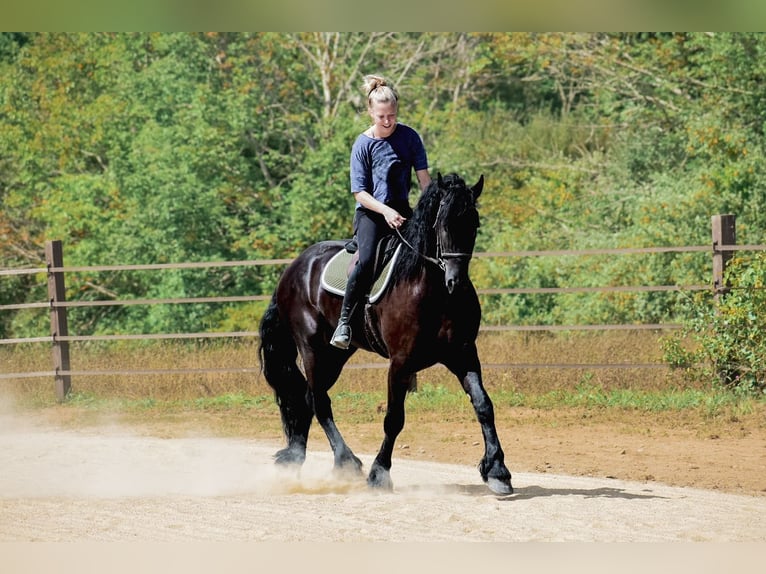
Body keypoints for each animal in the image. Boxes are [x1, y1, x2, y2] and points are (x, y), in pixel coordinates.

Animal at [258, 172, 513, 495]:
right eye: (442, 223)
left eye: (474, 223)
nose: (456, 282)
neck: (430, 289)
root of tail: (293, 268)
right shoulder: (400, 362)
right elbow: (394, 418)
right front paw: (379, 474)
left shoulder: (463, 353)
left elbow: (484, 406)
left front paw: (498, 472)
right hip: (312, 348)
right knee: (319, 401)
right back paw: (346, 462)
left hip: (335, 355)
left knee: (307, 398)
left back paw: (297, 457)